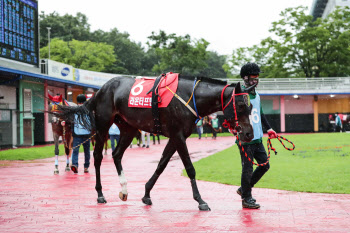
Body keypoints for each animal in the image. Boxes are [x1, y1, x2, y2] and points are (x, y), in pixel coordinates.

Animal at [52, 73, 254, 210]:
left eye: (251, 106)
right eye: (240, 105)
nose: (248, 134)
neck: (189, 97)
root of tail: (100, 90)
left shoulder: (175, 136)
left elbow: (162, 164)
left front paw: (147, 193)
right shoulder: (178, 135)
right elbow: (189, 168)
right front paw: (200, 200)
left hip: (128, 128)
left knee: (117, 154)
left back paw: (124, 190)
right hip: (103, 127)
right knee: (97, 157)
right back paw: (100, 194)